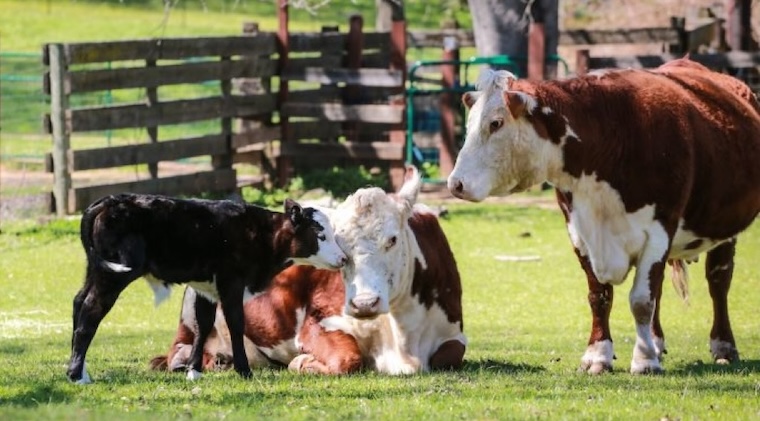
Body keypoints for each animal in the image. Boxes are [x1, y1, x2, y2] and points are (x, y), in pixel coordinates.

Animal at [68, 194, 347, 384]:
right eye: (321, 235)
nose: (343, 258)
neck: (261, 235)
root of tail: (109, 201)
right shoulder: (231, 282)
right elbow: (235, 323)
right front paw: (244, 370)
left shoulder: (206, 288)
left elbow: (202, 324)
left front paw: (194, 370)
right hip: (113, 275)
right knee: (91, 311)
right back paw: (76, 375)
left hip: (95, 270)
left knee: (78, 302)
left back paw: (78, 369)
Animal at [150, 167, 467, 375]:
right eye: (340, 244)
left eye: (392, 239)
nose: (364, 303)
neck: (402, 338)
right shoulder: (319, 322)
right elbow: (348, 359)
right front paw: (302, 362)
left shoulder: (454, 332)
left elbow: (450, 354)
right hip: (192, 312)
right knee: (179, 349)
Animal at [447, 58, 760, 374]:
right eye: (469, 125)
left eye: (496, 123)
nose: (455, 183)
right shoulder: (580, 232)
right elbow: (600, 296)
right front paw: (598, 355)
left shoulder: (660, 228)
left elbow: (642, 300)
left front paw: (644, 360)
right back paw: (657, 343)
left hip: (725, 227)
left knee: (718, 282)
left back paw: (723, 346)